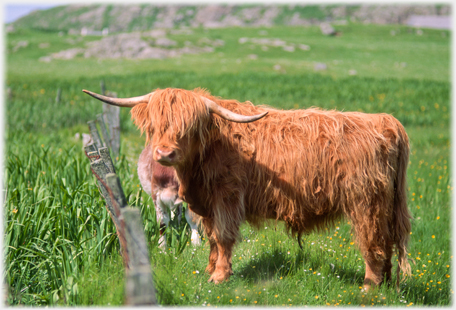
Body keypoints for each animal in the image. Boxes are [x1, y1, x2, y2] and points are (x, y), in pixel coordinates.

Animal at [83, 86, 412, 290]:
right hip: (386, 205)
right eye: (155, 126)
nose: (164, 153)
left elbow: (224, 237)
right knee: (388, 243)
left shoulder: (227, 197)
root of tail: (386, 122)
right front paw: (209, 269)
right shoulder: (206, 203)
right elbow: (212, 238)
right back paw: (385, 285)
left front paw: (220, 276)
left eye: (188, 128)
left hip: (366, 202)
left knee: (373, 242)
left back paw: (369, 288)